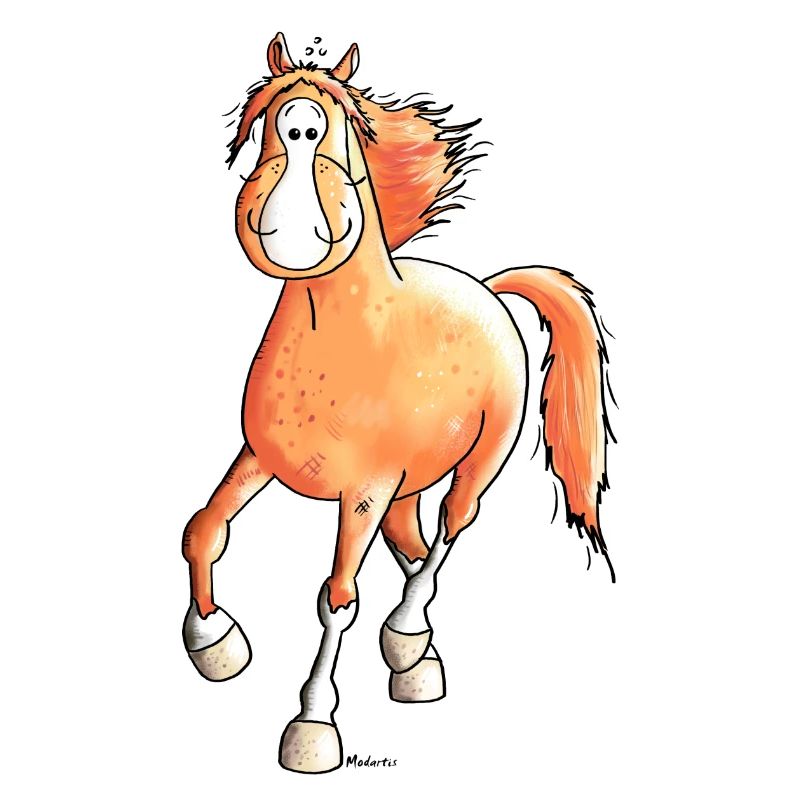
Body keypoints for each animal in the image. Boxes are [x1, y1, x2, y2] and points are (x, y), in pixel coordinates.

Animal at [181, 31, 614, 774]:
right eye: (267, 119)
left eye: (339, 122)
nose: (301, 130)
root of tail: (488, 288)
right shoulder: (258, 458)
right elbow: (204, 529)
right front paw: (215, 643)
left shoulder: (363, 492)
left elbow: (336, 599)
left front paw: (312, 726)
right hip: (405, 488)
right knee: (412, 548)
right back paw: (416, 658)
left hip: (476, 463)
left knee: (448, 529)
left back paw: (408, 637)